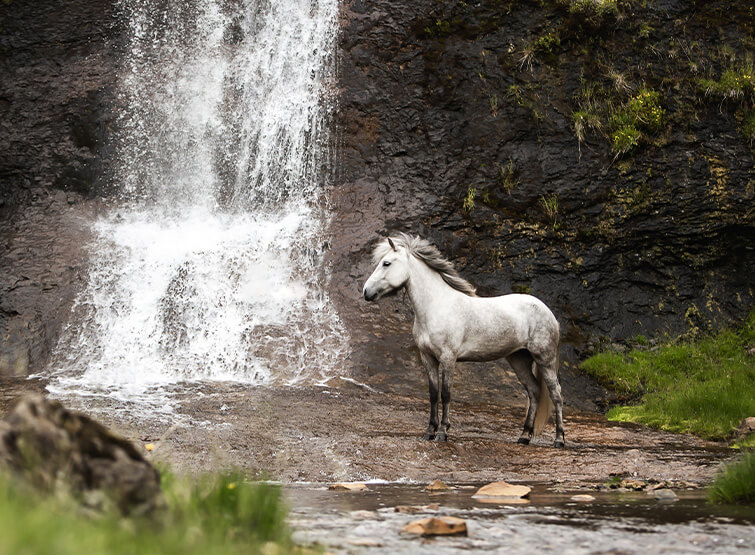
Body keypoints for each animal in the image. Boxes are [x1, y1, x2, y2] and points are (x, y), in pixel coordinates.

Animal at [364, 233, 564, 448]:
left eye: (386, 263)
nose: (366, 292)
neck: (436, 306)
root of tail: (548, 312)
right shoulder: (427, 358)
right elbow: (433, 394)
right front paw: (429, 431)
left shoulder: (448, 358)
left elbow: (446, 394)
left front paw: (442, 432)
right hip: (519, 359)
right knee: (534, 391)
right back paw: (524, 436)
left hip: (545, 359)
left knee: (556, 394)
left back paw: (559, 439)